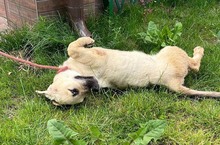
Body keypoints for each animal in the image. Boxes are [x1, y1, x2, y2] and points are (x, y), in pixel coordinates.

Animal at [36, 36, 220, 105]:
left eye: (73, 91)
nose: (94, 86)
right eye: (77, 94)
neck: (76, 68)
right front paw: (87, 40)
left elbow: (72, 47)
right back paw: (198, 50)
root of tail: (172, 84)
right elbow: (72, 48)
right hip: (173, 51)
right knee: (195, 64)